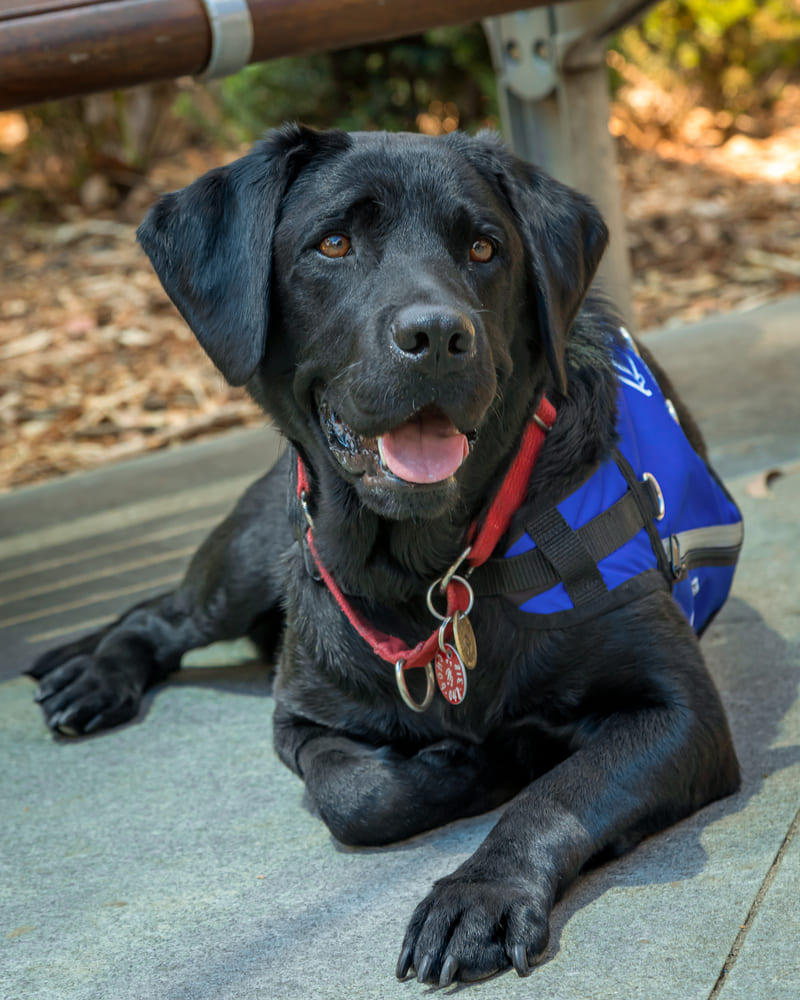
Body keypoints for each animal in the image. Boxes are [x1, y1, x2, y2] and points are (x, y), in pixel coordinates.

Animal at [31, 129, 744, 988]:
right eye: (334, 243)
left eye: (484, 248)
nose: (437, 336)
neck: (430, 570)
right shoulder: (301, 714)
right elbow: (358, 791)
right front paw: (466, 766)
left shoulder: (681, 713)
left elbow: (558, 792)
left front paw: (480, 888)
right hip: (254, 553)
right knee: (157, 615)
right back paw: (95, 676)